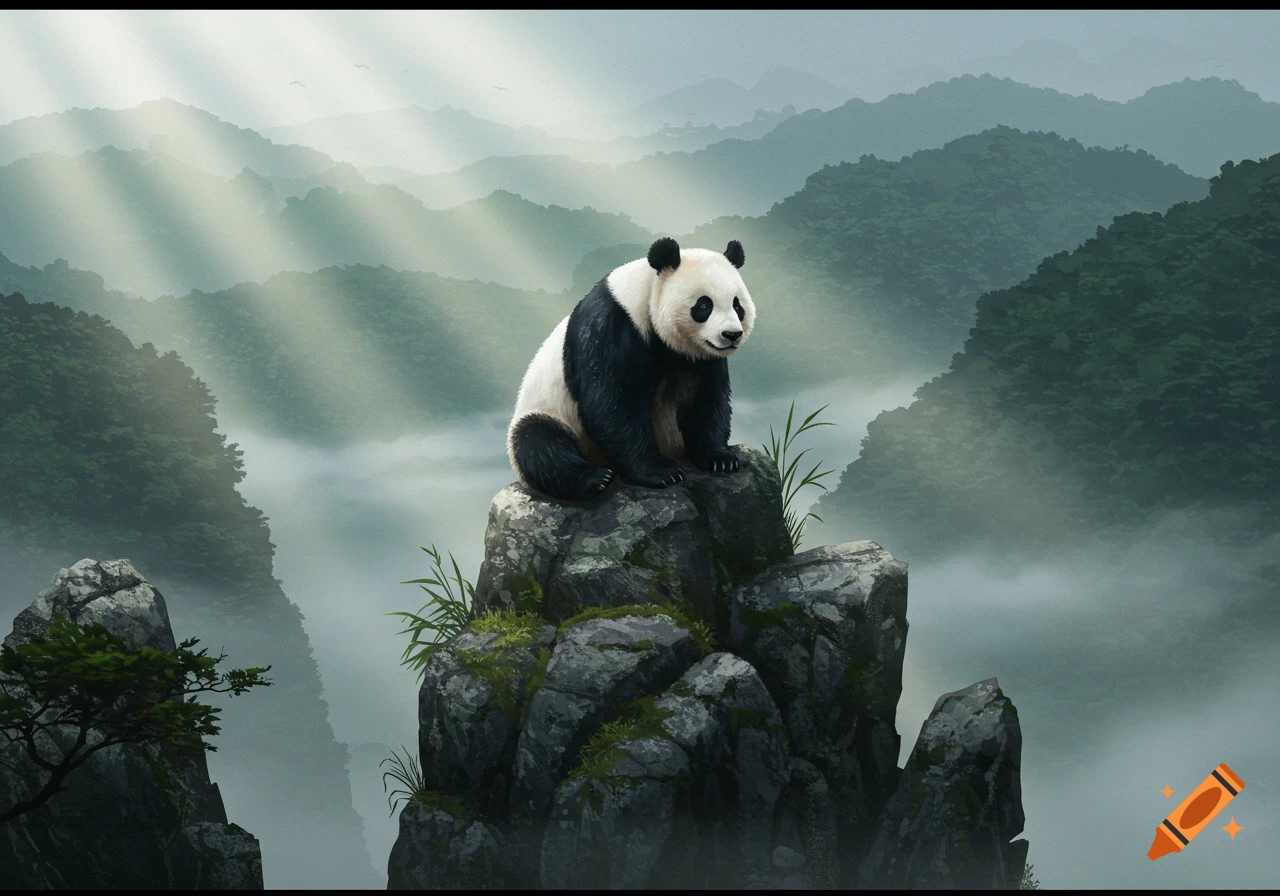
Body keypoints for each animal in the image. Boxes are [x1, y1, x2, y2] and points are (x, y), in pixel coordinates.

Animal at [507, 237, 756, 502]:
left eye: (737, 305)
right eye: (704, 305)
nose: (732, 334)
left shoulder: (700, 359)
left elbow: (707, 399)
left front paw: (720, 458)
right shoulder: (610, 326)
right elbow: (612, 403)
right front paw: (661, 472)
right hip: (549, 412)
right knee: (538, 441)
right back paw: (595, 478)